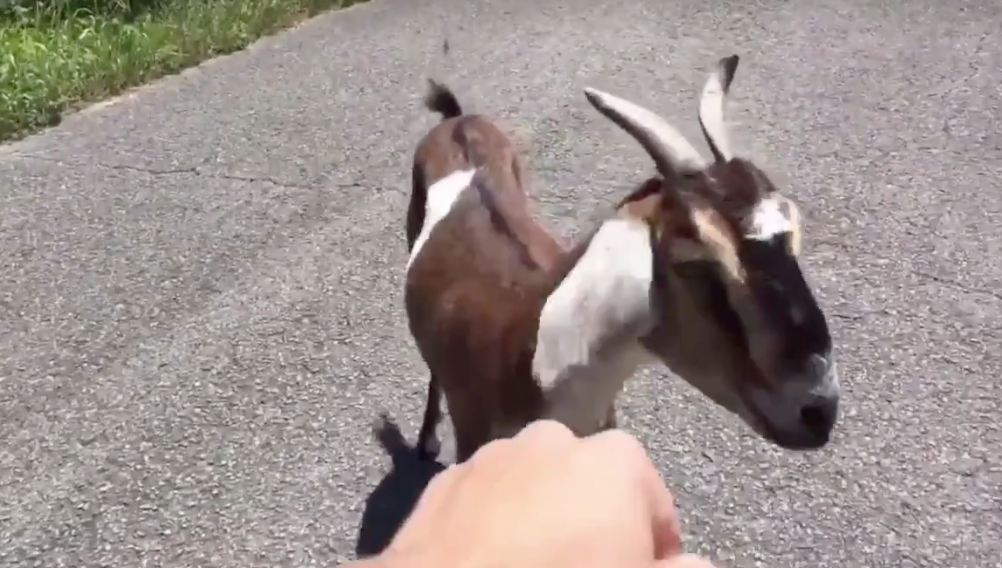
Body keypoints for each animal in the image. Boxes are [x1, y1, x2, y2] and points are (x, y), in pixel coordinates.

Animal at [404, 55, 840, 463]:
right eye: (692, 260)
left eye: (794, 230)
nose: (819, 411)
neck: (526, 347)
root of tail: (457, 120)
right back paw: (427, 440)